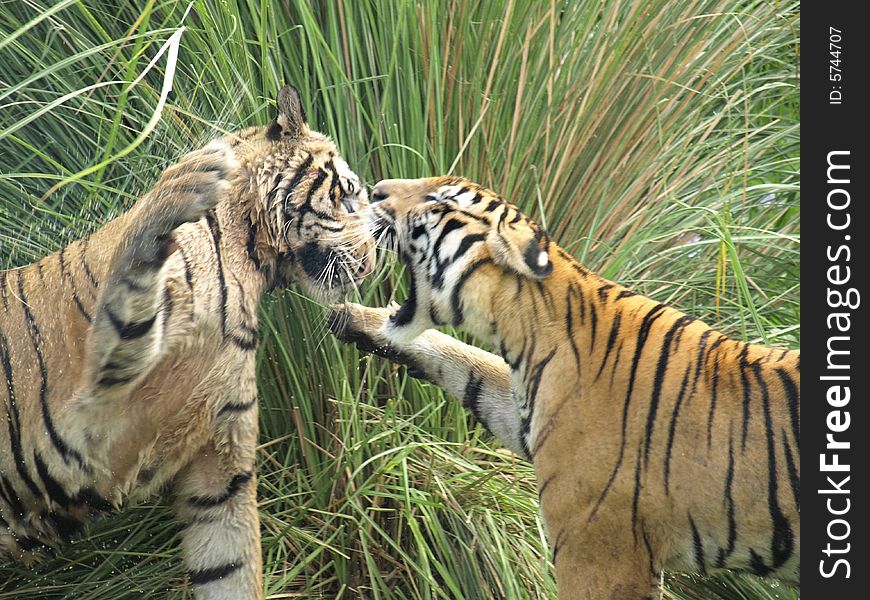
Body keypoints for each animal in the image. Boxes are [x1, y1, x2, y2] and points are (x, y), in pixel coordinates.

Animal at [0, 85, 374, 600]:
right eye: (350, 196)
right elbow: (129, 293)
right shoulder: (91, 402)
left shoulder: (220, 466)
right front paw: (187, 180)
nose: (372, 264)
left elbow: (229, 566)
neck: (252, 267)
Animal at [334, 177, 804, 600]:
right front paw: (355, 318)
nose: (371, 190)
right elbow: (467, 363)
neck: (526, 332)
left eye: (438, 200)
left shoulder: (596, 548)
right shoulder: (526, 417)